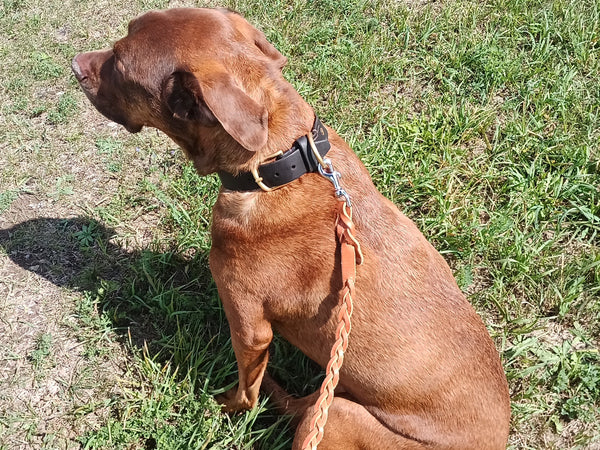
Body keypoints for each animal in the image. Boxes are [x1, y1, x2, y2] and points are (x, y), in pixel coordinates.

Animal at [72, 7, 508, 450]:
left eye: (120, 64)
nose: (74, 65)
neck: (281, 160)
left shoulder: (249, 327)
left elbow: (245, 392)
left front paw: (225, 406)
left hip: (337, 416)